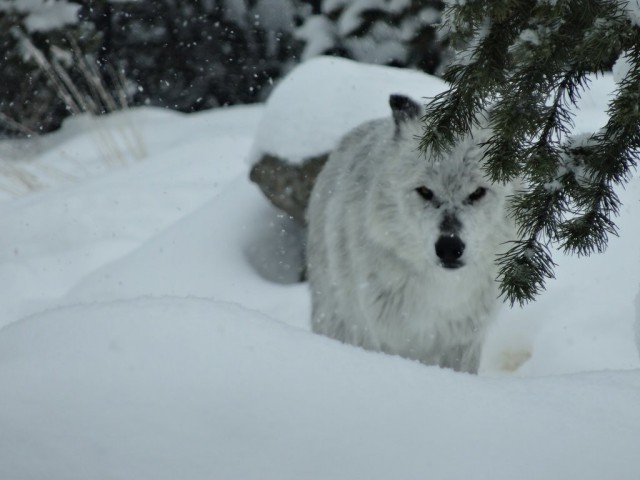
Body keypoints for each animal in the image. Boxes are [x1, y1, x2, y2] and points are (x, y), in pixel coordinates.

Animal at [306, 93, 520, 372]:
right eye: (425, 191)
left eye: (477, 193)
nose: (449, 247)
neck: (442, 292)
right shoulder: (383, 338)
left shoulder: (463, 342)